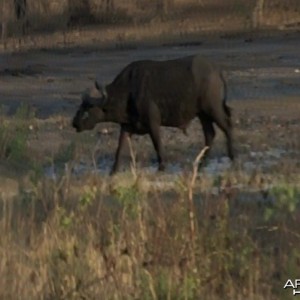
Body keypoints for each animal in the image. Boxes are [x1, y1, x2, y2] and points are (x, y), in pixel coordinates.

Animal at [72, 55, 234, 175]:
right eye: (81, 107)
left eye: (87, 109)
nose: (74, 123)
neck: (129, 90)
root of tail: (216, 70)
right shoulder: (127, 126)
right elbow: (120, 148)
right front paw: (113, 170)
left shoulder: (153, 124)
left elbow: (157, 145)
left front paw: (161, 167)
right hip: (203, 115)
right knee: (210, 134)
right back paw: (201, 163)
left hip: (213, 109)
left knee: (227, 126)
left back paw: (232, 156)